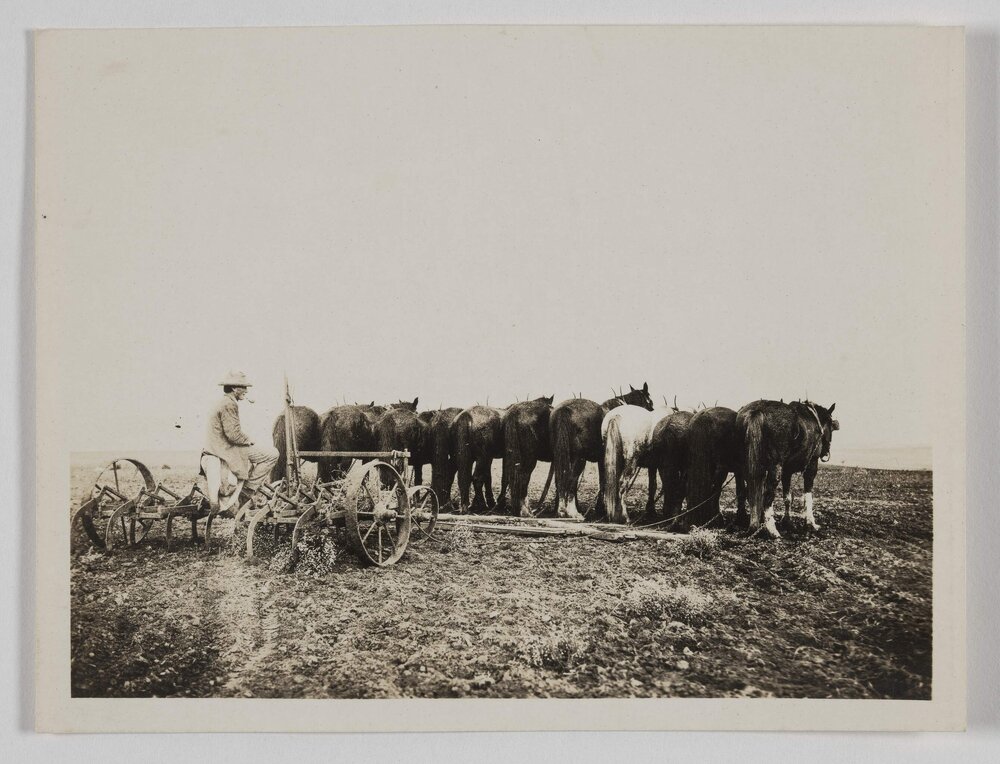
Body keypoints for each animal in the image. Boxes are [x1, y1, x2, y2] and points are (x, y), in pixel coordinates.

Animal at [549, 383, 654, 520]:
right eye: (650, 402)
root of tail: (564, 410)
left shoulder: (601, 459)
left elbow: (602, 480)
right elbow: (605, 482)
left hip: (561, 455)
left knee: (560, 479)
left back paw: (561, 511)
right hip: (579, 459)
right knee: (571, 480)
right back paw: (573, 513)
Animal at [735, 399, 838, 538]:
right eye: (831, 426)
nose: (826, 453)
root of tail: (758, 410)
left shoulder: (787, 472)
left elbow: (787, 497)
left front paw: (787, 521)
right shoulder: (811, 466)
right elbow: (808, 496)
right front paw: (810, 523)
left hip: (746, 465)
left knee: (750, 490)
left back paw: (755, 524)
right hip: (775, 467)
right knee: (767, 494)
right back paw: (771, 529)